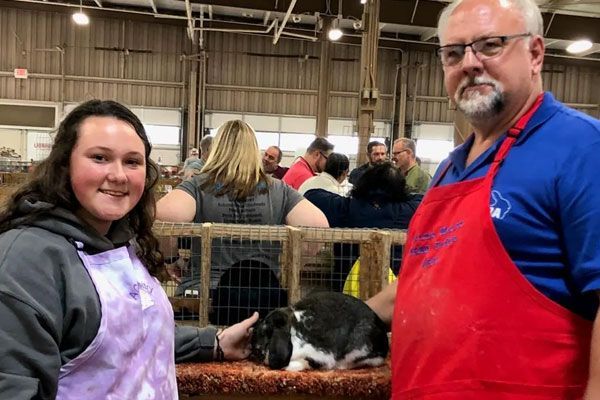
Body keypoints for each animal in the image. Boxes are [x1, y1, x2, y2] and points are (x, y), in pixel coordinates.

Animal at [250, 290, 386, 372]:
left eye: (266, 330)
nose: (254, 347)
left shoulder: (321, 355)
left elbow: (307, 362)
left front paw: (289, 367)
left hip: (360, 350)